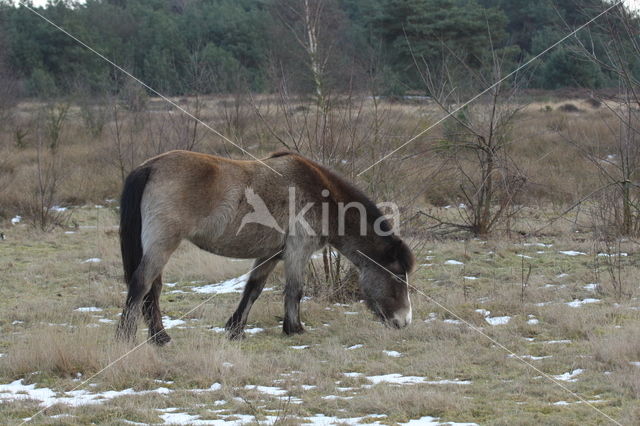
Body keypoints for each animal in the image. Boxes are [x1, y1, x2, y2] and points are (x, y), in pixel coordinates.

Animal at [115, 151, 416, 344]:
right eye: (396, 275)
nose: (404, 321)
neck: (321, 195)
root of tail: (149, 167)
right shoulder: (297, 251)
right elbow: (295, 290)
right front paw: (294, 329)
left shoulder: (270, 253)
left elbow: (253, 289)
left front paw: (235, 330)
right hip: (163, 244)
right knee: (142, 284)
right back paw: (129, 336)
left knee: (152, 289)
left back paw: (158, 337)